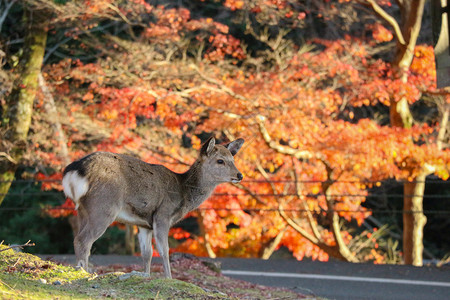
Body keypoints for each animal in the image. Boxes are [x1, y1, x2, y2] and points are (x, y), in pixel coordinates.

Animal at [61, 137, 244, 278]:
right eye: (220, 160)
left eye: (233, 160)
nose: (239, 175)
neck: (183, 193)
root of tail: (75, 171)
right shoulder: (163, 215)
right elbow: (164, 251)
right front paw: (169, 278)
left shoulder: (144, 224)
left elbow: (147, 253)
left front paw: (146, 275)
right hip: (103, 206)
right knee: (83, 240)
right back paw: (84, 273)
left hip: (83, 210)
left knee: (79, 238)